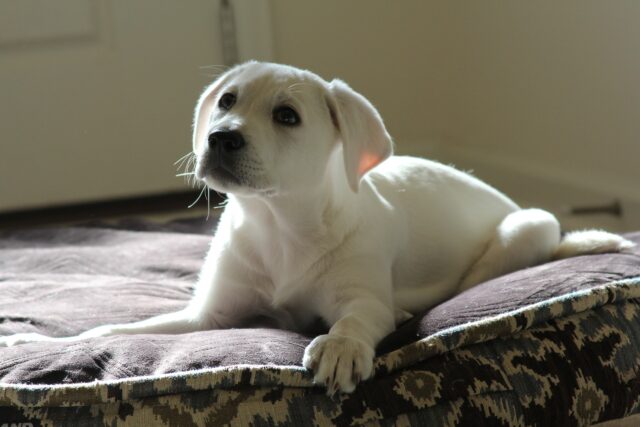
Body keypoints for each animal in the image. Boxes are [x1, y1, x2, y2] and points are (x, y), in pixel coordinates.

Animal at [0, 62, 632, 394]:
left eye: (287, 116)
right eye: (227, 100)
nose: (219, 138)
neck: (280, 222)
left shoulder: (361, 297)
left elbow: (355, 318)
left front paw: (340, 347)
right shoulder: (206, 318)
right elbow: (116, 332)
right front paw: (41, 344)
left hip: (527, 226)